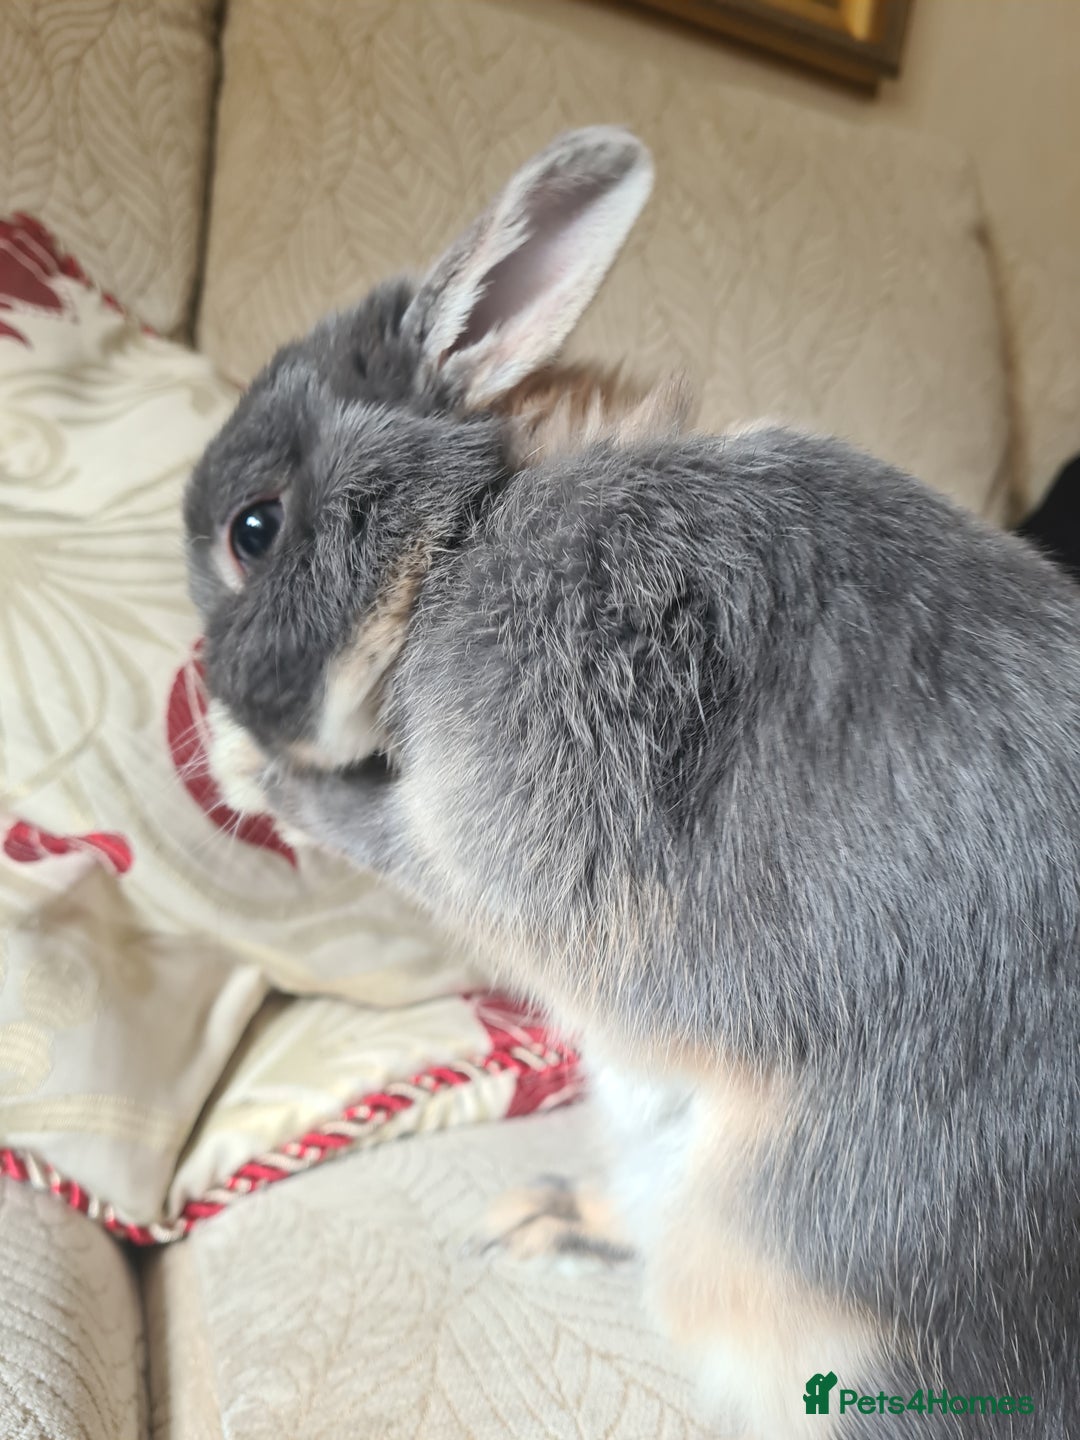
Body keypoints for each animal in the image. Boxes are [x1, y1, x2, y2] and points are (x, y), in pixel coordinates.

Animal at [184, 128, 1080, 1437]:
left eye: (253, 529)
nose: (211, 688)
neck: (474, 526)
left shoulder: (503, 823)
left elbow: (376, 827)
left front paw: (243, 767)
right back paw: (546, 1217)